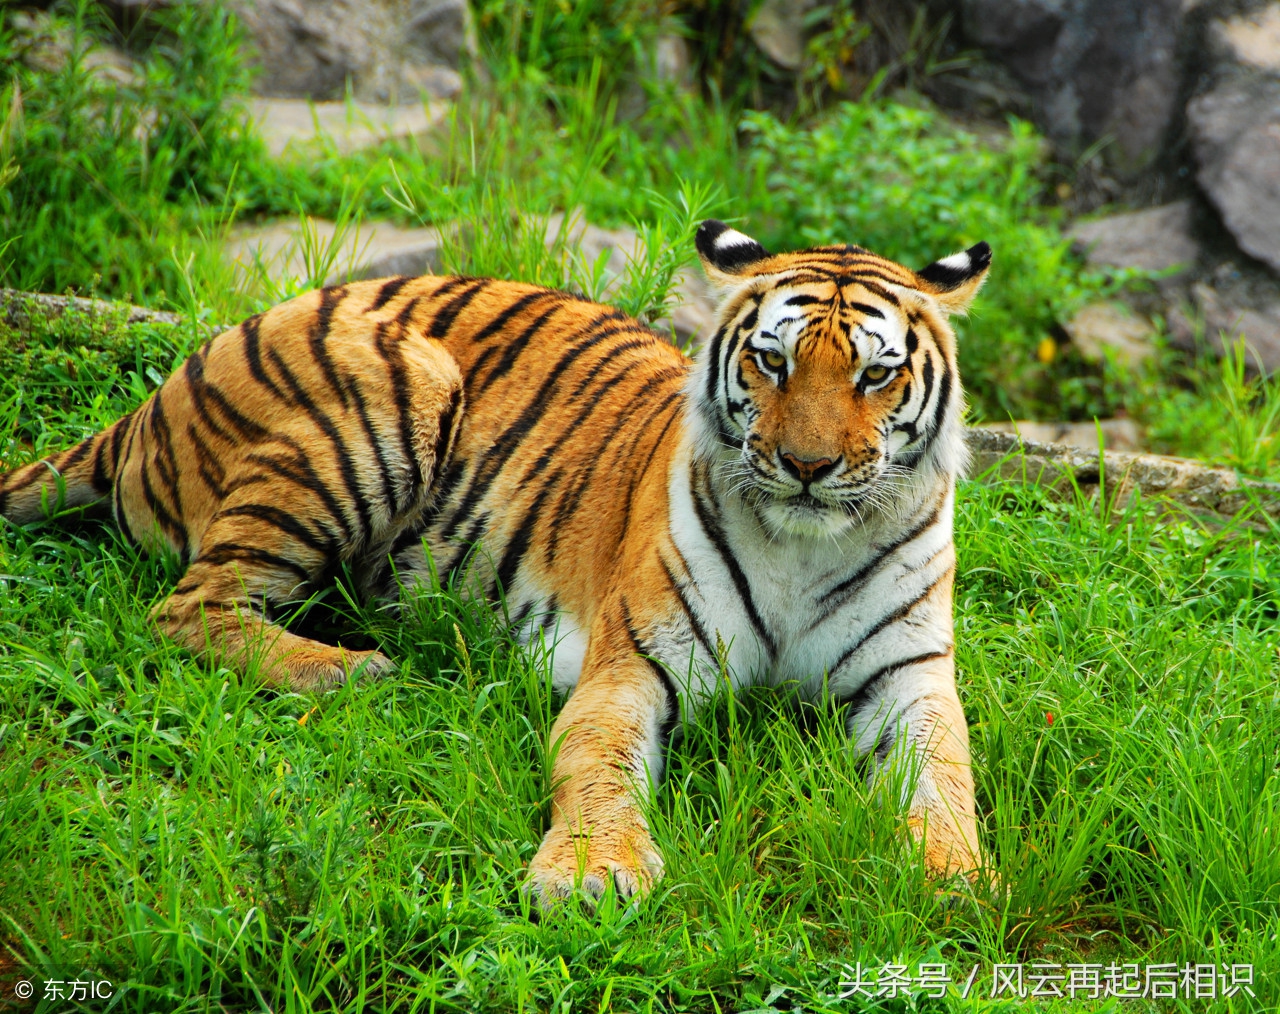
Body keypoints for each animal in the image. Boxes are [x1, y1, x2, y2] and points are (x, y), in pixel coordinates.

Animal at [0, 220, 991, 902]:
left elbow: (947, 776)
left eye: (874, 375)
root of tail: (168, 383)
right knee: (189, 606)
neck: (802, 546)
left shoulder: (908, 678)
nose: (806, 465)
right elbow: (596, 766)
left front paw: (951, 878)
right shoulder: (632, 668)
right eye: (771, 362)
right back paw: (349, 671)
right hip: (395, 386)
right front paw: (592, 877)